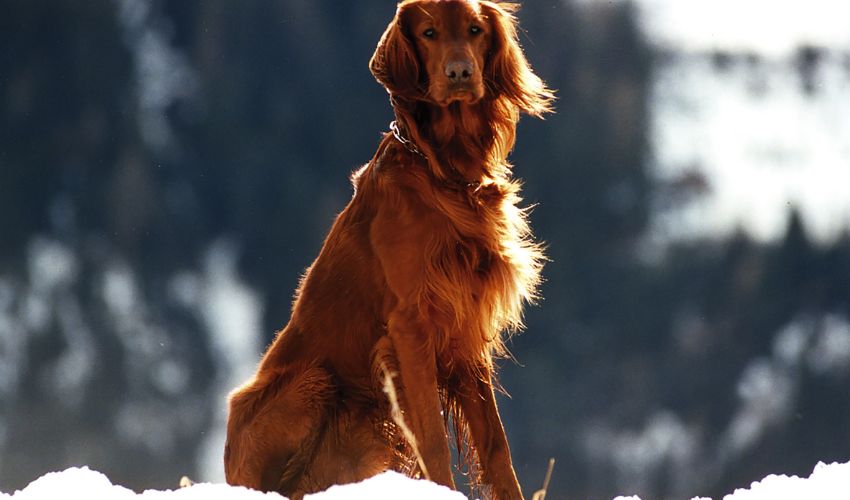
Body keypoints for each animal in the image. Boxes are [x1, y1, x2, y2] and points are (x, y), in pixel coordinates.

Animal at [225, 1, 552, 498]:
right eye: (429, 32)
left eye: (475, 29)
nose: (460, 72)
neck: (446, 172)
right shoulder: (410, 327)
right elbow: (433, 442)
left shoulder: (467, 330)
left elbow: (497, 449)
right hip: (314, 383)